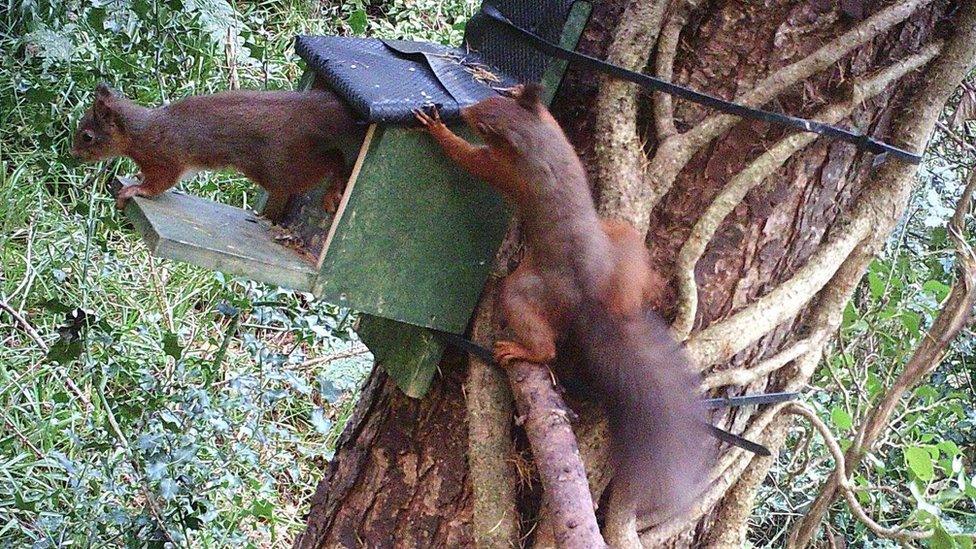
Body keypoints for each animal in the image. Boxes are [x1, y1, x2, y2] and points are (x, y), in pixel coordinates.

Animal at [70, 83, 364, 220]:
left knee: (333, 160)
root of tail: (302, 111)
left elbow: (161, 183)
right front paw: (138, 177)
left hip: (279, 167)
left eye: (87, 136)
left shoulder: (167, 158)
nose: (73, 154)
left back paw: (334, 189)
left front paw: (136, 190)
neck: (141, 132)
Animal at [416, 84, 712, 512]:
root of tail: (589, 299)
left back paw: (523, 350)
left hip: (524, 292)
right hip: (620, 241)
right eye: (494, 97)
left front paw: (437, 129)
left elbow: (468, 159)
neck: (538, 142)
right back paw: (649, 289)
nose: (465, 111)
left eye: (486, 125)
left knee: (544, 343)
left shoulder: (502, 169)